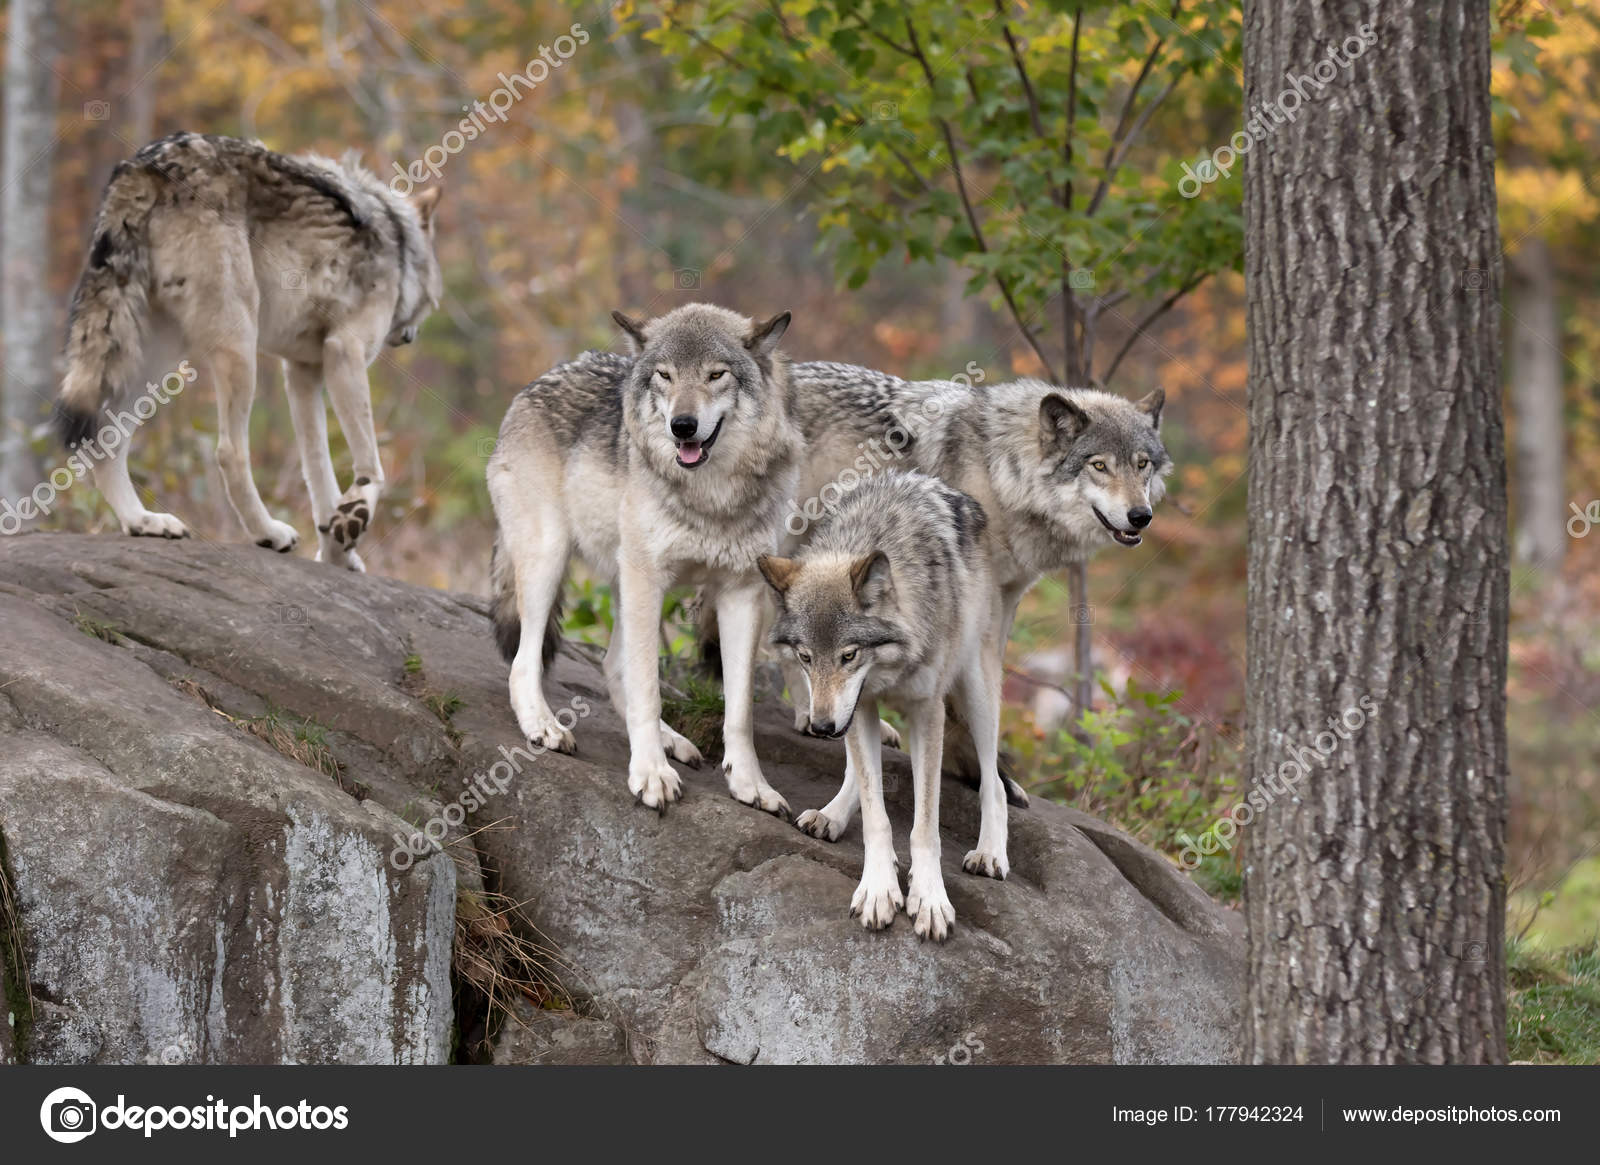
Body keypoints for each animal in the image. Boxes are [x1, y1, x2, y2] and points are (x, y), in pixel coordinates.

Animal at [54, 132, 442, 571]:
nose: (410, 337)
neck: (400, 243)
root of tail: (145, 163)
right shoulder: (345, 352)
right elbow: (372, 468)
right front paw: (353, 518)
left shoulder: (303, 373)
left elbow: (318, 472)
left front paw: (338, 553)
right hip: (238, 345)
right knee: (229, 453)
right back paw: (268, 533)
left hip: (154, 360)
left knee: (105, 439)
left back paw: (144, 521)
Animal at [488, 303, 801, 815]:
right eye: (664, 375)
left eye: (716, 374)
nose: (683, 426)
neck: (711, 496)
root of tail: (537, 382)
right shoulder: (648, 579)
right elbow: (649, 691)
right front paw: (651, 773)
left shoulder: (742, 593)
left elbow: (739, 711)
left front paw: (751, 784)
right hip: (551, 559)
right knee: (524, 661)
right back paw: (543, 726)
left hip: (620, 579)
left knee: (613, 668)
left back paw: (671, 740)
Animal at [758, 470, 999, 941]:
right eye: (806, 658)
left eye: (849, 655)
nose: (820, 728)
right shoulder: (860, 707)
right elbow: (876, 814)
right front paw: (878, 889)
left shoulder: (927, 711)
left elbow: (925, 826)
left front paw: (929, 897)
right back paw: (831, 815)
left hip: (975, 687)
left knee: (994, 779)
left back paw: (991, 852)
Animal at [776, 364, 1171, 879]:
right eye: (1099, 465)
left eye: (1142, 465)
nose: (1140, 516)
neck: (1001, 473)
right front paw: (839, 808)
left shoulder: (998, 604)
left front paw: (988, 778)